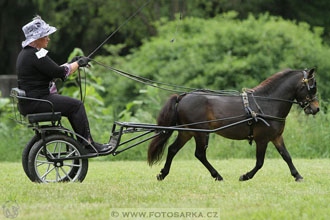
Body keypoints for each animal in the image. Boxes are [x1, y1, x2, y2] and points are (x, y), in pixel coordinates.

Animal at [147, 68, 320, 181]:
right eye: (312, 86)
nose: (316, 108)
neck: (267, 102)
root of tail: (183, 96)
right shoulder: (262, 139)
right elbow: (260, 162)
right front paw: (245, 176)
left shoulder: (276, 137)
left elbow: (286, 156)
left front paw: (297, 175)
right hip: (201, 133)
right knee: (200, 154)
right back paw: (217, 175)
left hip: (187, 132)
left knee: (173, 149)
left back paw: (163, 174)